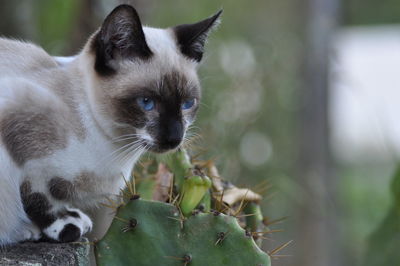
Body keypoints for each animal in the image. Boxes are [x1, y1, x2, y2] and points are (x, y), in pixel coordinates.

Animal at [0, 4, 222, 245]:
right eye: (146, 102)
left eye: (187, 104)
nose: (174, 138)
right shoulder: (25, 152)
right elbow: (38, 196)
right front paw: (65, 226)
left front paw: (71, 217)